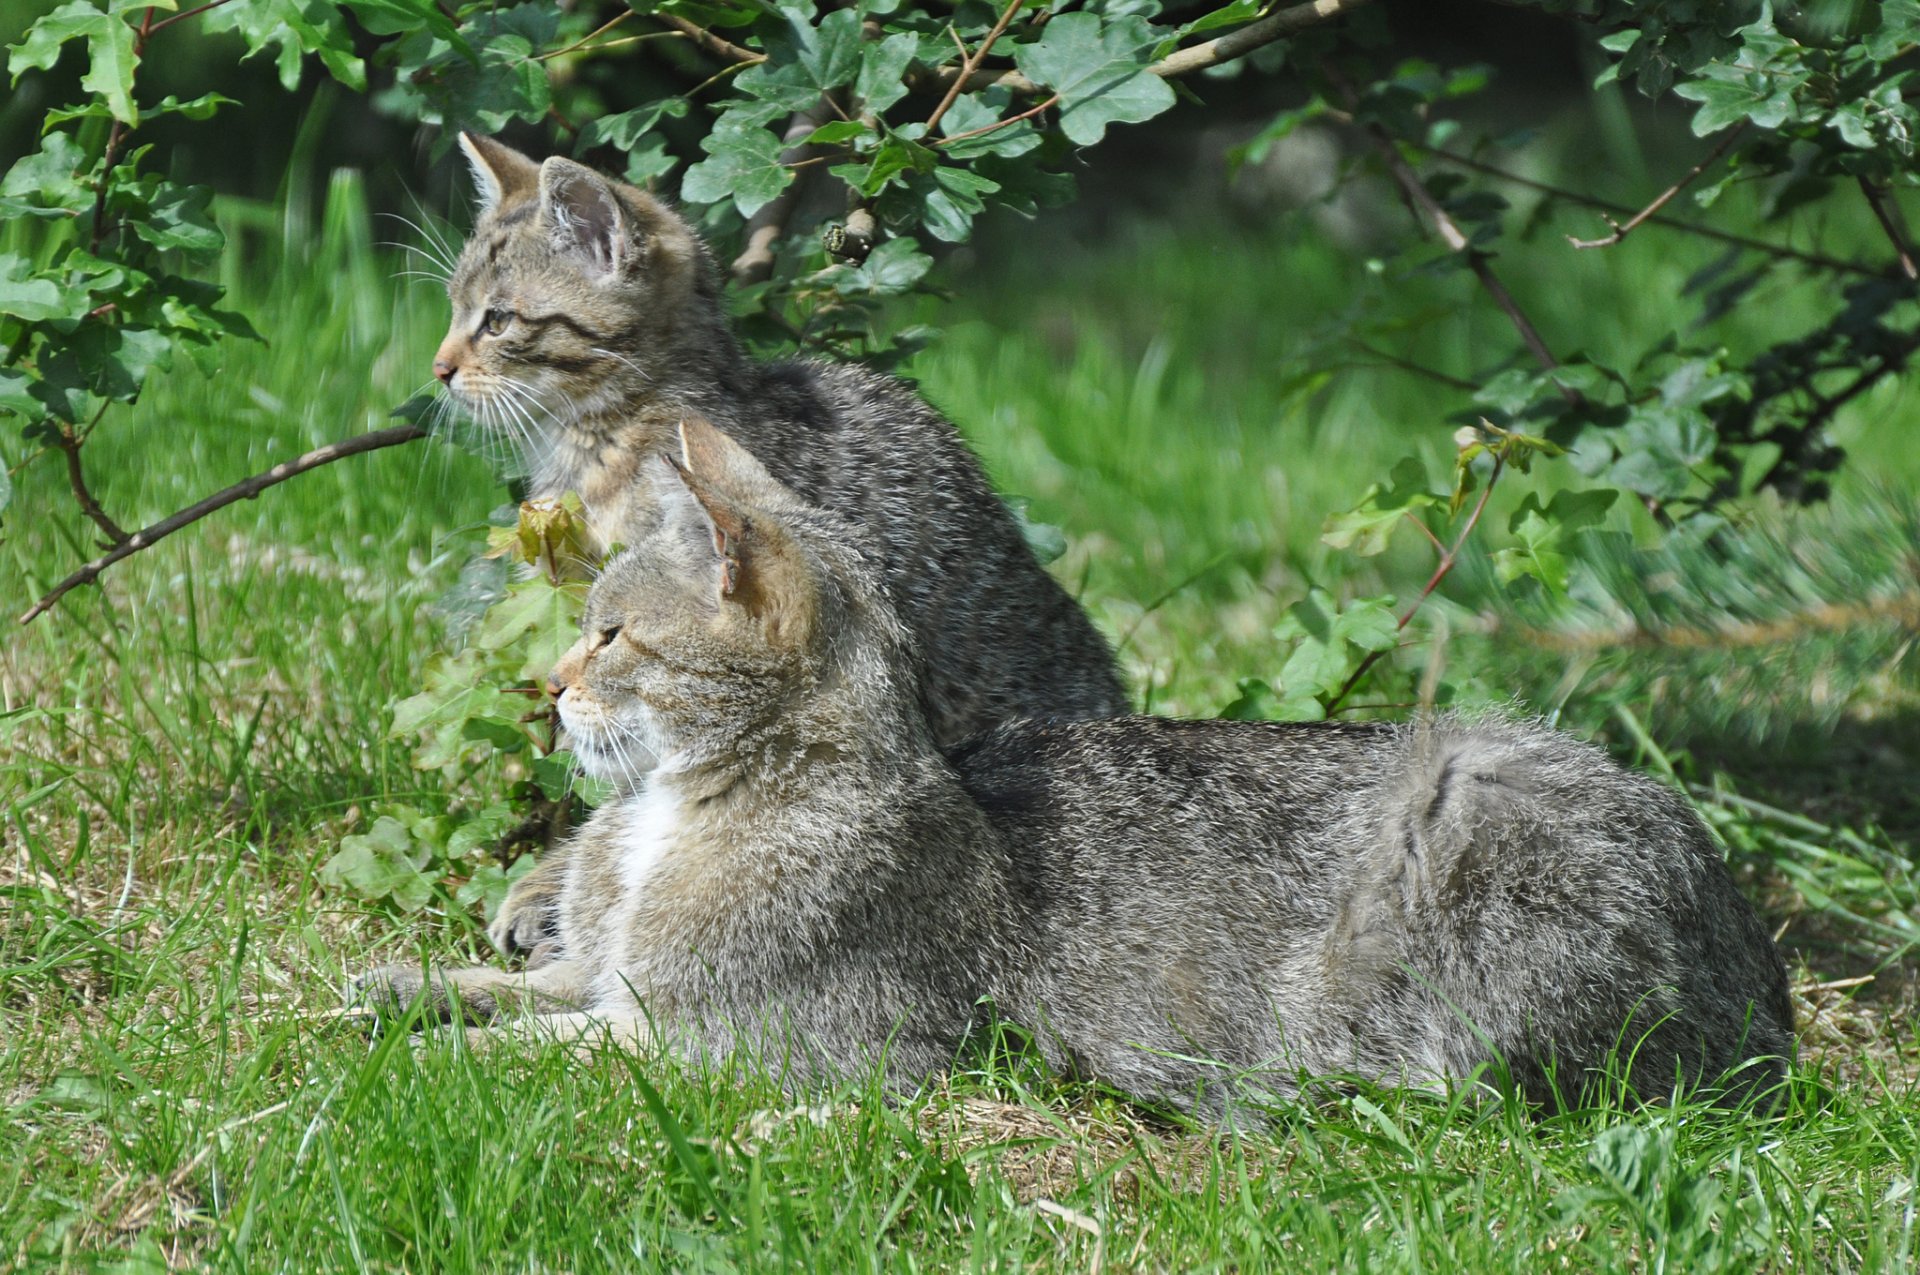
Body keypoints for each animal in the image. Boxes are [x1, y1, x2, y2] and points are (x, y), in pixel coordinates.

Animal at [360, 420, 1797, 1113]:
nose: (548, 688)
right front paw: (389, 988)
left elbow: (537, 1048)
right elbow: (508, 990)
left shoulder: (733, 1042)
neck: (670, 818)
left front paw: (420, 1066)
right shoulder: (607, 979)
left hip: (1466, 804)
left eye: (611, 631)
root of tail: (1770, 990)